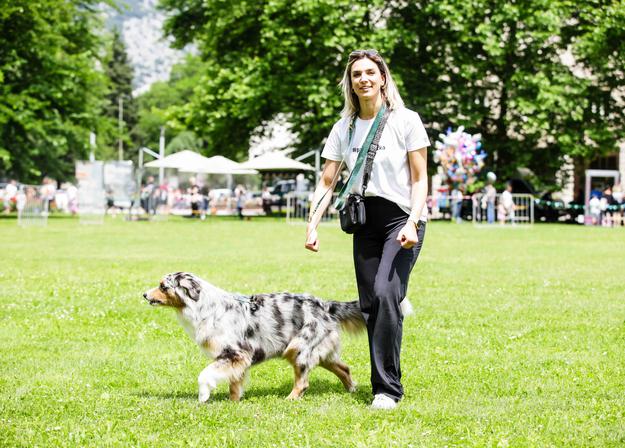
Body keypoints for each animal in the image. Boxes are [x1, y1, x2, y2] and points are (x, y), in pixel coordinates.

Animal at [144, 272, 412, 404]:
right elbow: (234, 383)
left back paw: (290, 399)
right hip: (320, 352)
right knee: (344, 367)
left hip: (298, 348)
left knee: (303, 382)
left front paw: (203, 396)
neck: (204, 306)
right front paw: (234, 403)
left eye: (163, 286)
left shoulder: (234, 352)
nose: (144, 294)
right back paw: (351, 390)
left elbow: (205, 375)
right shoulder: (237, 359)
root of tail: (324, 304)